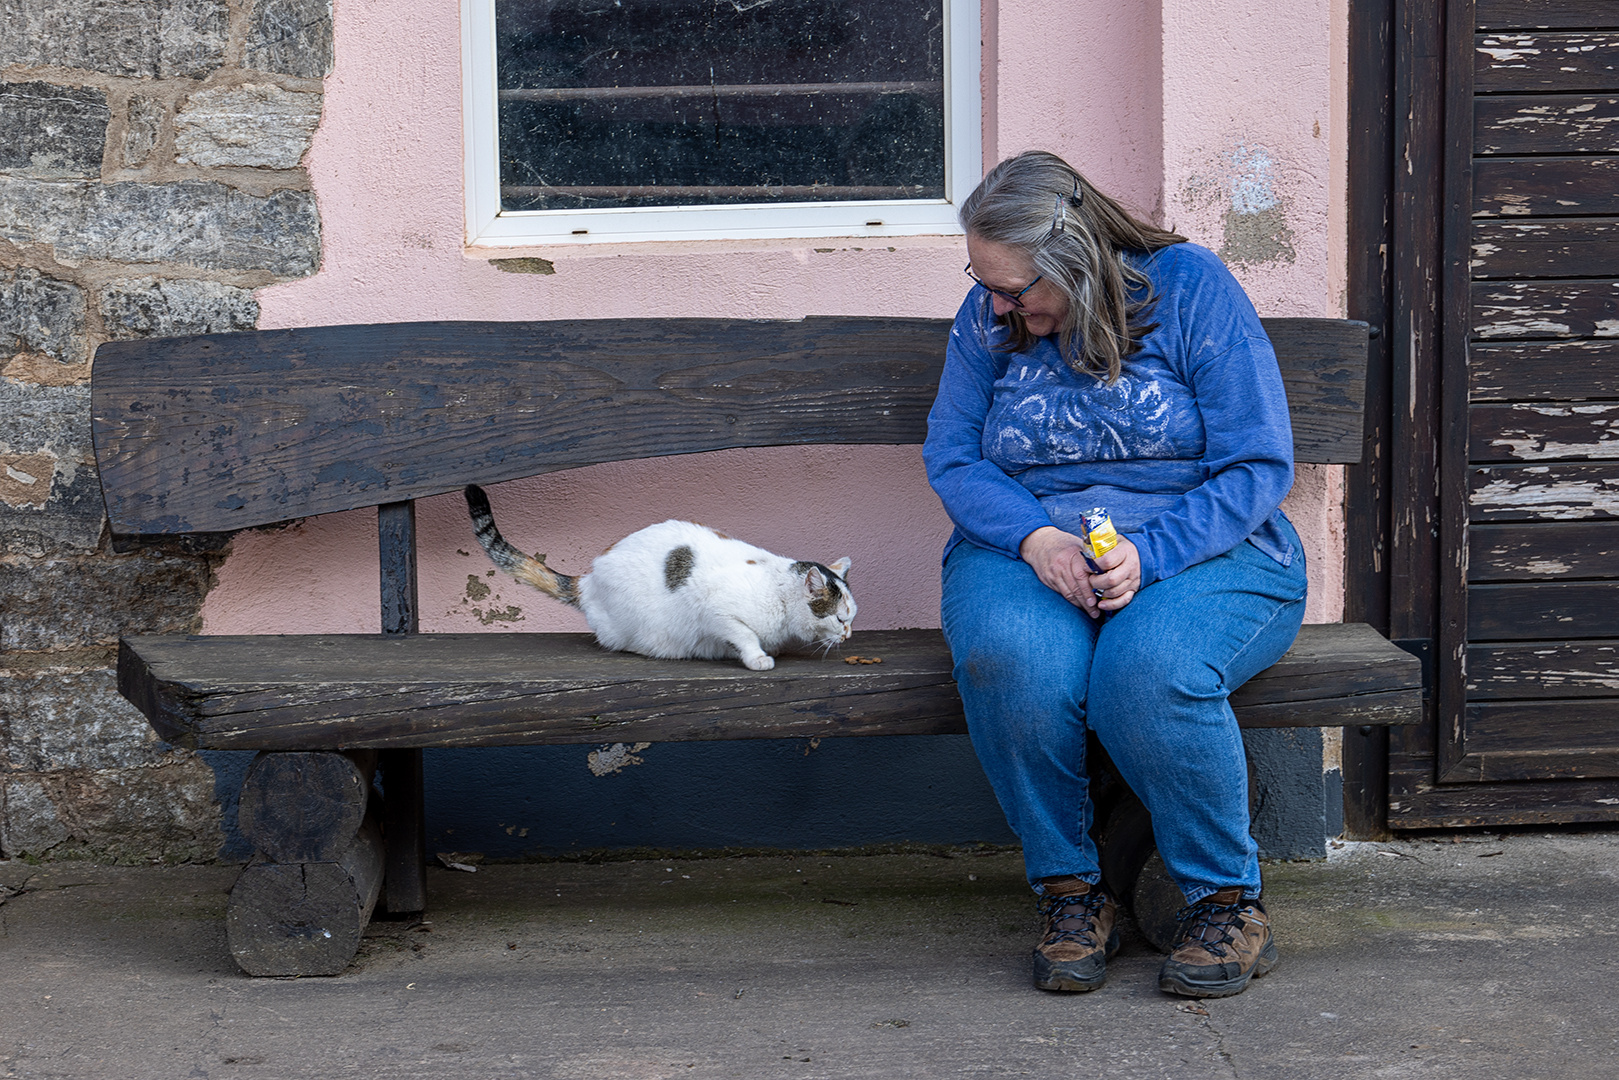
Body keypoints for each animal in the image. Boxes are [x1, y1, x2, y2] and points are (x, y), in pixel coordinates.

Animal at [463, 488, 854, 670]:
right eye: (839, 618)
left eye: (852, 618)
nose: (848, 635)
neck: (779, 594)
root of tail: (588, 580)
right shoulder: (715, 610)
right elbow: (743, 634)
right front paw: (757, 657)